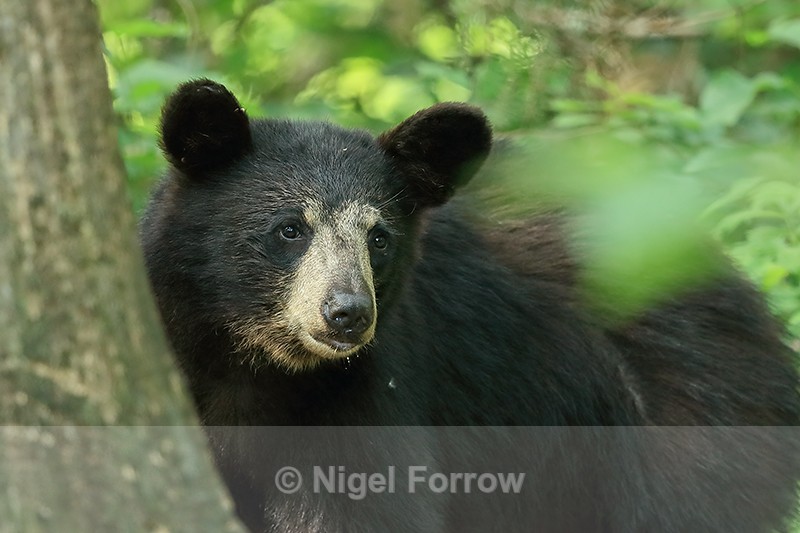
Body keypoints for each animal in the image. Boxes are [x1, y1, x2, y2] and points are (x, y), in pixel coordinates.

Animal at [140, 79, 800, 533]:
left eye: (379, 237)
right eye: (288, 229)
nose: (348, 313)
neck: (255, 367)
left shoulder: (366, 393)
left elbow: (364, 503)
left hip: (689, 416)